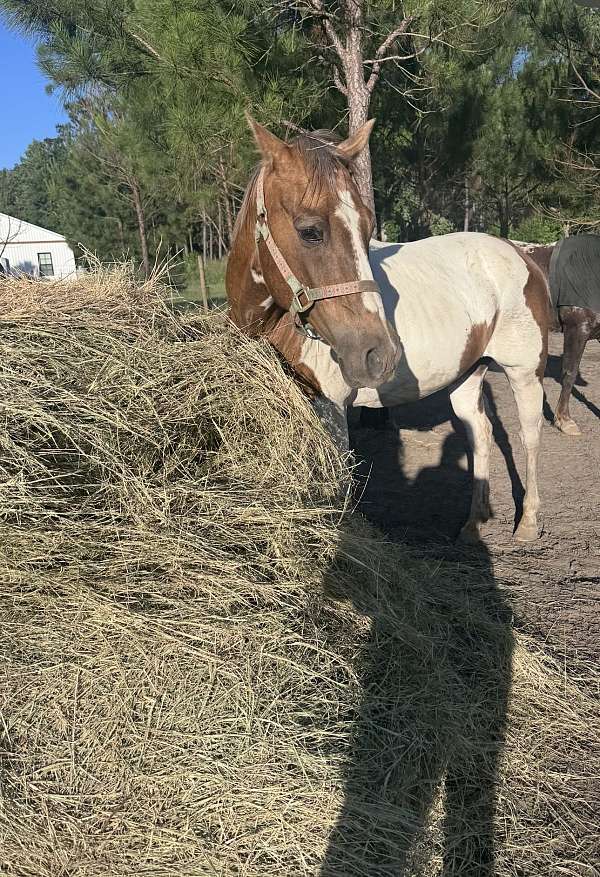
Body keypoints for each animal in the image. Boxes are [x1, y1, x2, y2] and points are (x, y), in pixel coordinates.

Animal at [226, 119, 550, 543]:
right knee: (480, 433)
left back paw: (528, 522)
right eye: (310, 231)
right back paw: (472, 523)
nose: (378, 355)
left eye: (367, 228)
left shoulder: (332, 408)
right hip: (467, 374)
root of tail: (518, 253)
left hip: (524, 372)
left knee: (530, 436)